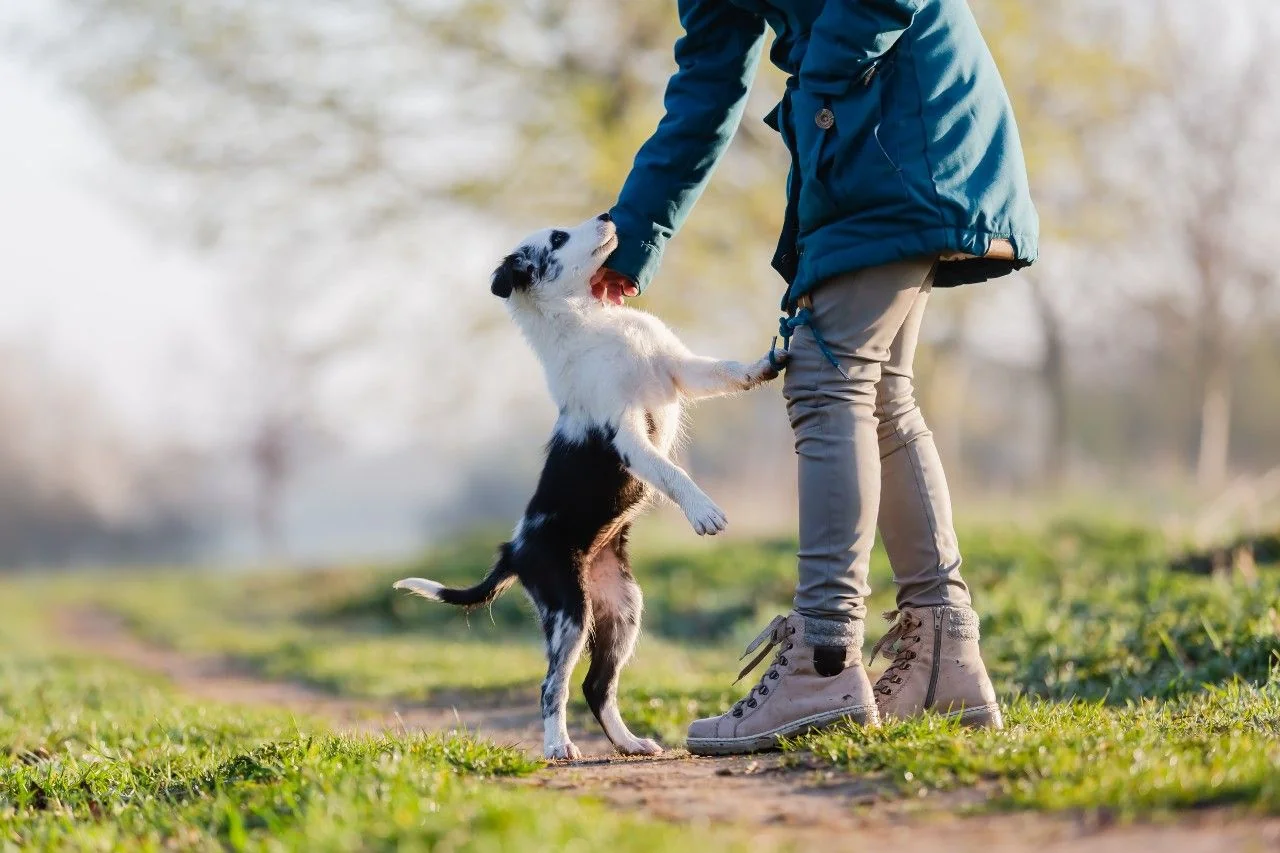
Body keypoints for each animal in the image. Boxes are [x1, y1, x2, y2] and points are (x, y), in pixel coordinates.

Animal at [394, 212, 783, 758]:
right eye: (557, 239)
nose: (607, 216)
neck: (589, 321)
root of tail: (514, 550)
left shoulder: (679, 369)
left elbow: (725, 370)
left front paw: (766, 364)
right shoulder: (628, 436)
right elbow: (672, 472)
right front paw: (703, 511)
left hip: (623, 609)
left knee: (596, 686)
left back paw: (630, 744)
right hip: (568, 613)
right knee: (552, 685)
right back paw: (558, 746)